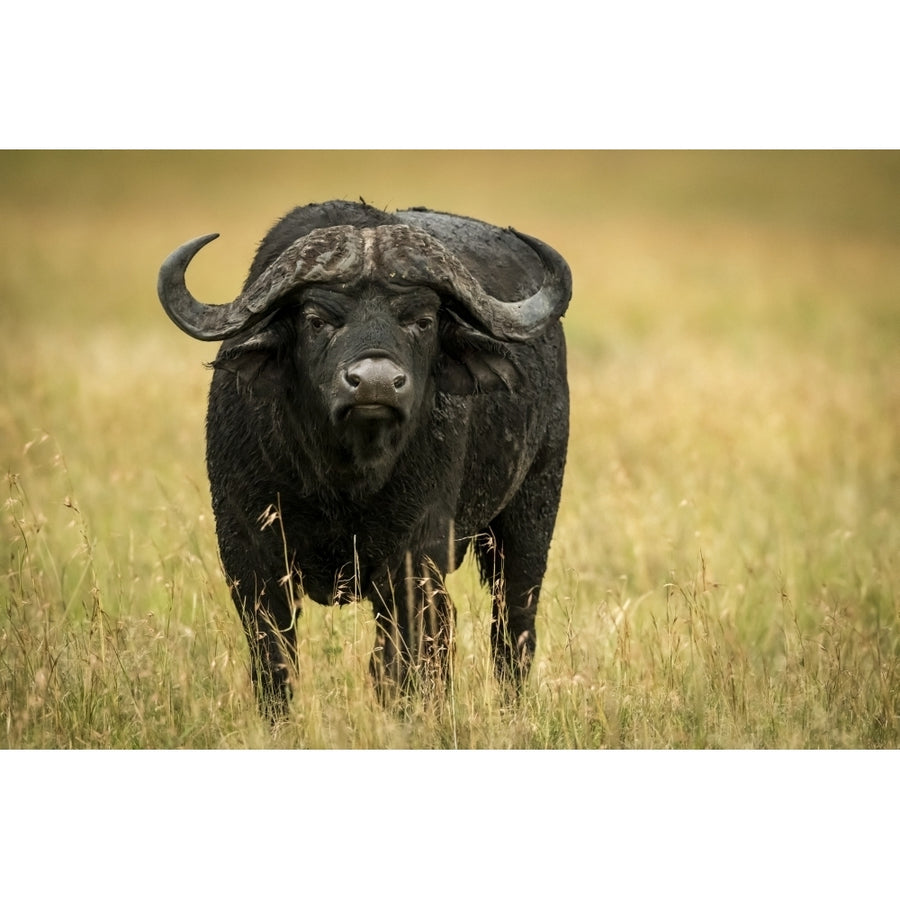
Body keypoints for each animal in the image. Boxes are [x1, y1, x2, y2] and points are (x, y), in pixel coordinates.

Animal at [156, 199, 568, 716]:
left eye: (422, 320)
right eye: (316, 320)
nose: (375, 383)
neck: (342, 479)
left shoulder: (412, 561)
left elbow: (401, 664)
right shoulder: (249, 557)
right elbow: (275, 662)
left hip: (530, 514)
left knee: (511, 627)